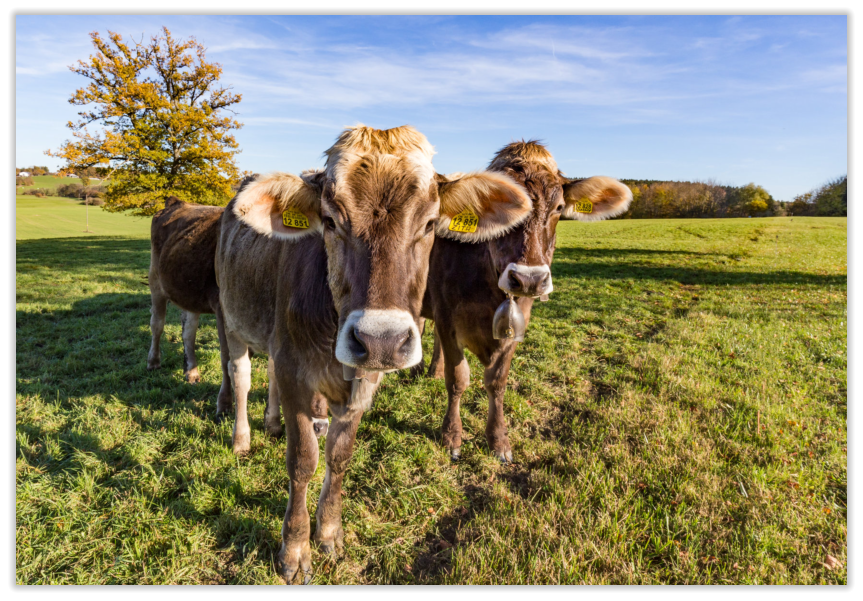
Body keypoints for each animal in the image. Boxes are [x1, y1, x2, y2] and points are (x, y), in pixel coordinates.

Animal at [148, 197, 233, 412]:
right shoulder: (223, 311)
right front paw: (224, 404)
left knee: (188, 333)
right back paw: (153, 361)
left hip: (189, 293)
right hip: (155, 280)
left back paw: (191, 371)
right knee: (157, 325)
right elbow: (227, 357)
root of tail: (176, 202)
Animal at [216, 124, 532, 580]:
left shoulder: (363, 379)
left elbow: (339, 456)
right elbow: (303, 460)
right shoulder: (295, 370)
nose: (381, 340)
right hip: (233, 319)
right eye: (330, 220)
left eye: (430, 223)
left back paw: (273, 423)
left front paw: (329, 531)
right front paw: (294, 550)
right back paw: (242, 438)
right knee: (240, 377)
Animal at [420, 141, 632, 460]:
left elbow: (497, 382)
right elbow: (457, 379)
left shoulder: (516, 327)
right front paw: (452, 436)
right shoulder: (447, 318)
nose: (529, 279)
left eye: (559, 208)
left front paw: (498, 440)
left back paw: (432, 370)